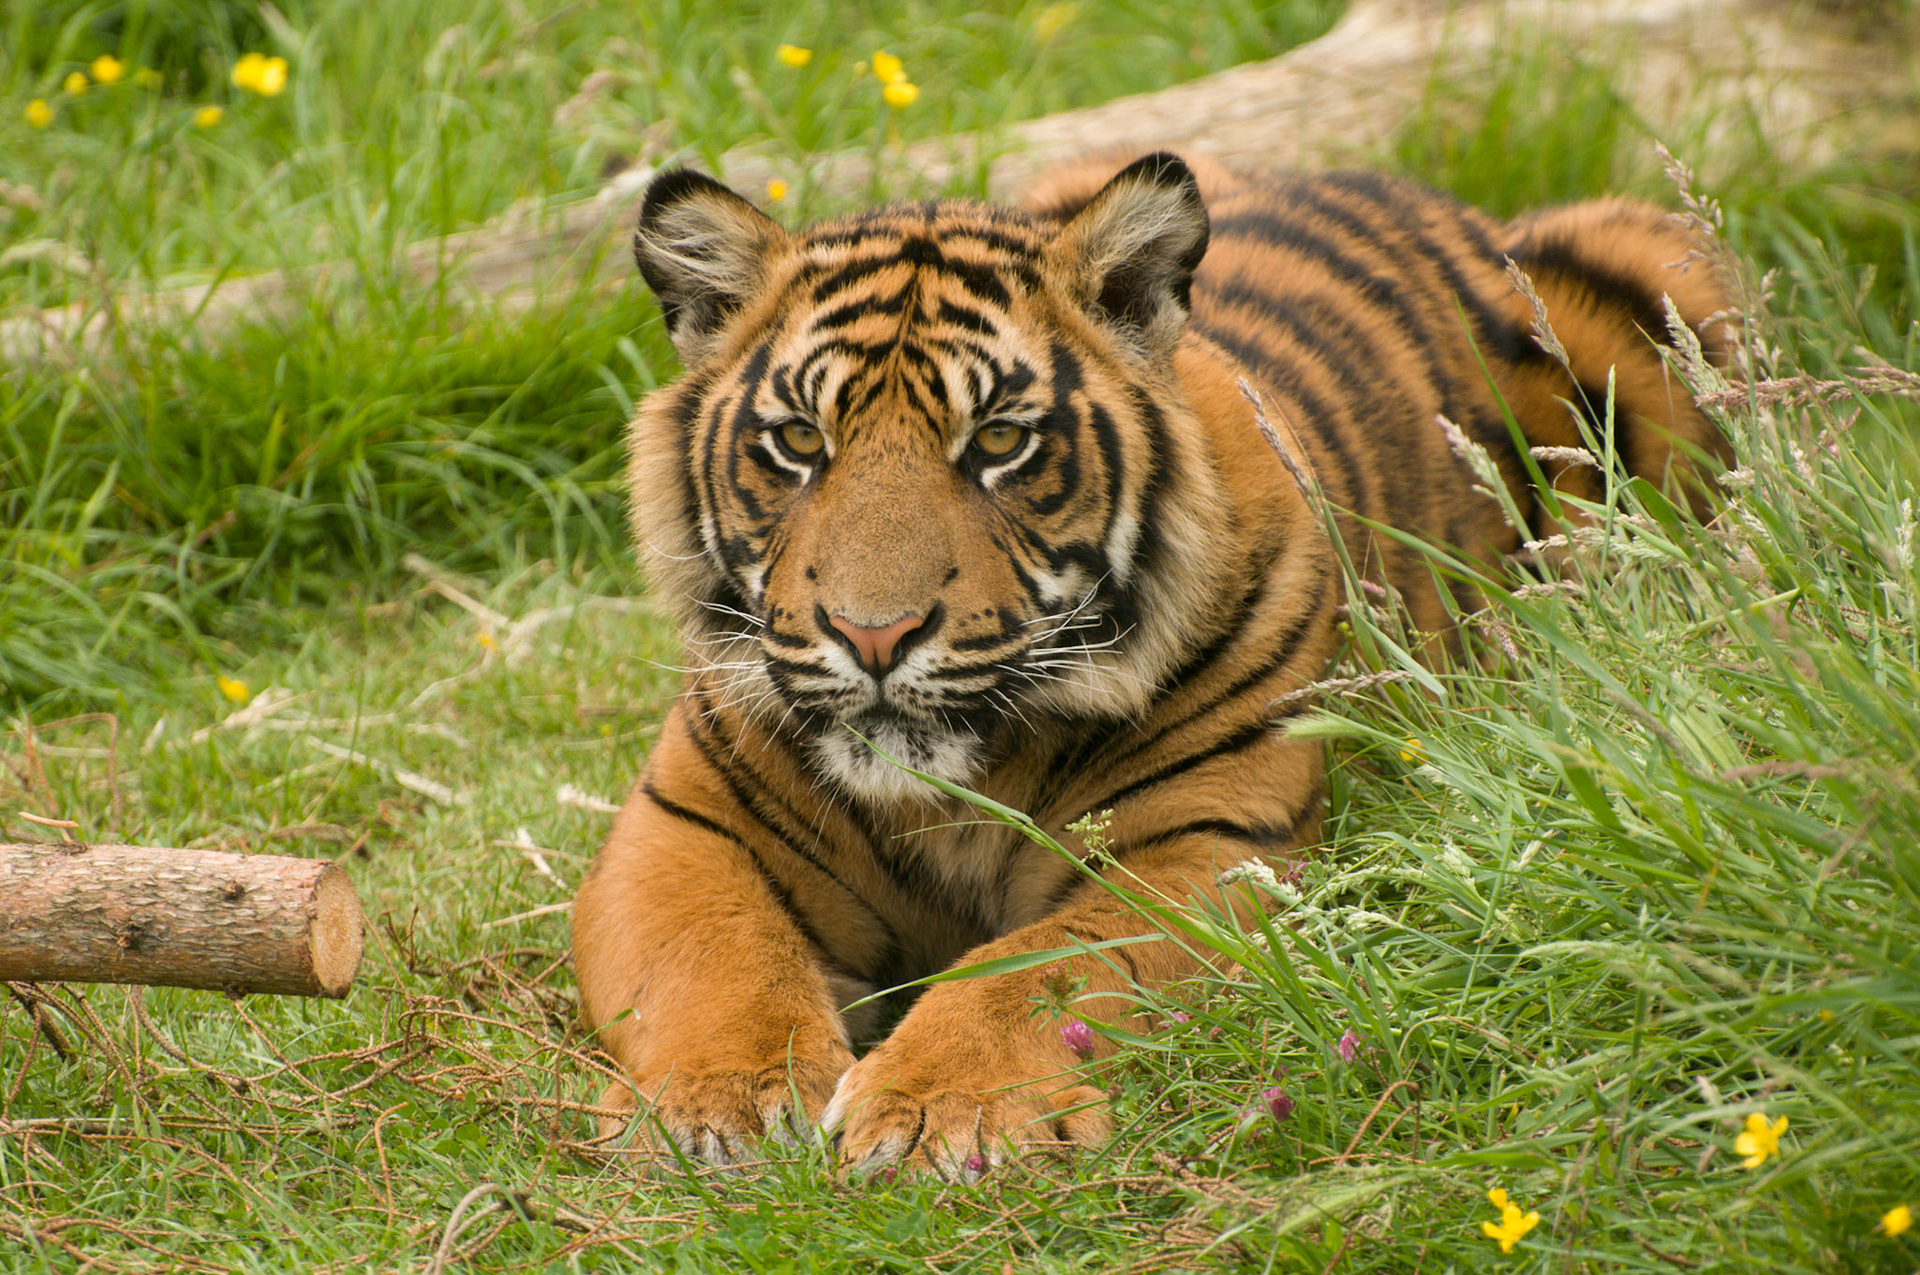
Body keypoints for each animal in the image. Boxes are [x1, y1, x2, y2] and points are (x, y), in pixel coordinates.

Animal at [571, 151, 1731, 1177]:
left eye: (999, 442)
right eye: (800, 442)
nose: (874, 635)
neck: (948, 793)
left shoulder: (1210, 848)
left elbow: (1039, 966)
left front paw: (937, 1106)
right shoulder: (685, 827)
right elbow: (716, 959)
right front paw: (720, 1106)